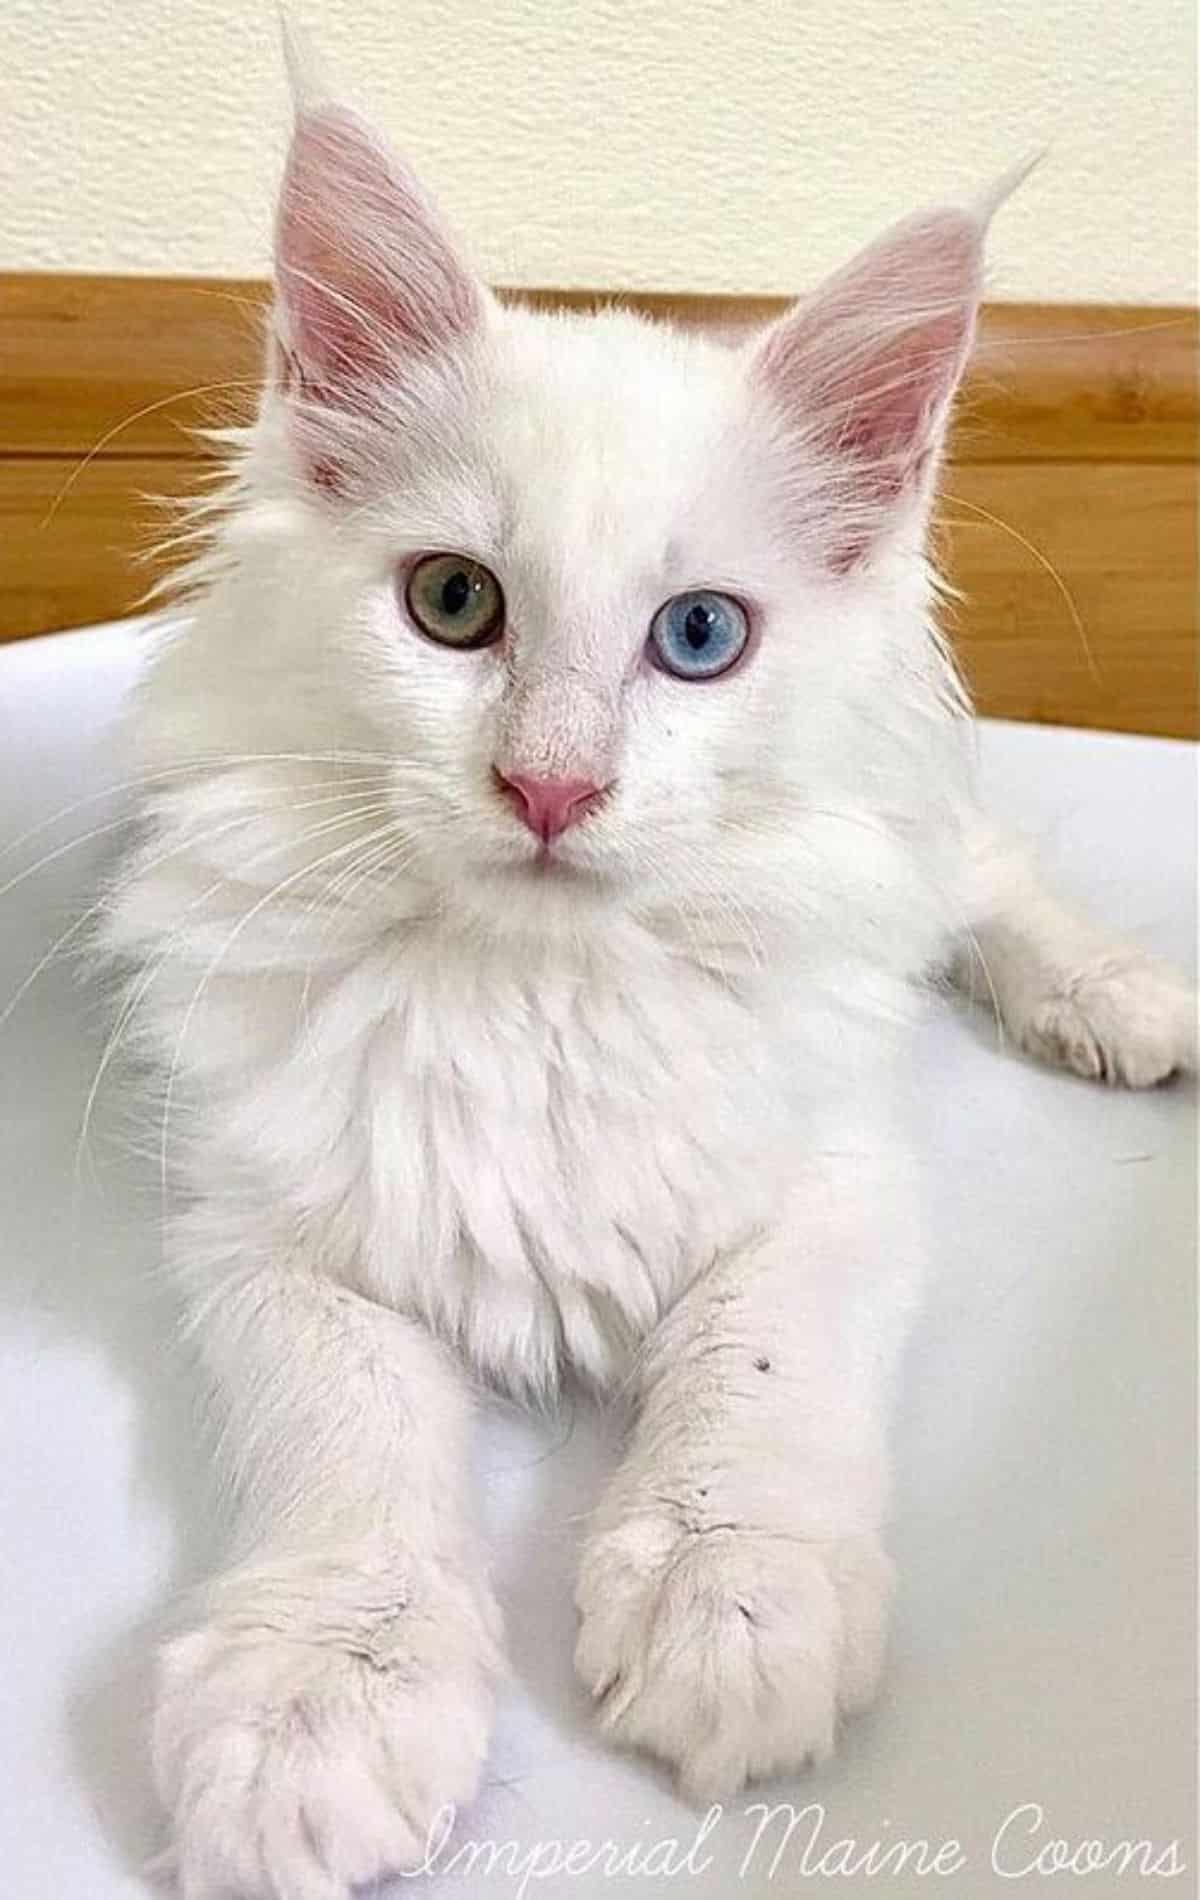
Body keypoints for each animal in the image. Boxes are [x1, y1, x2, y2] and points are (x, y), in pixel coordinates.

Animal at [100, 52, 1192, 1900]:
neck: (540, 993)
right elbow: (351, 1448)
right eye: (451, 603)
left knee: (983, 878)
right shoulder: (270, 1238)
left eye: (699, 639)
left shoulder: (829, 1185)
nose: (551, 789)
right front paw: (322, 1696)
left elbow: (753, 1382)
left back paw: (1122, 1002)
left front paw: (730, 1598)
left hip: (915, 844)